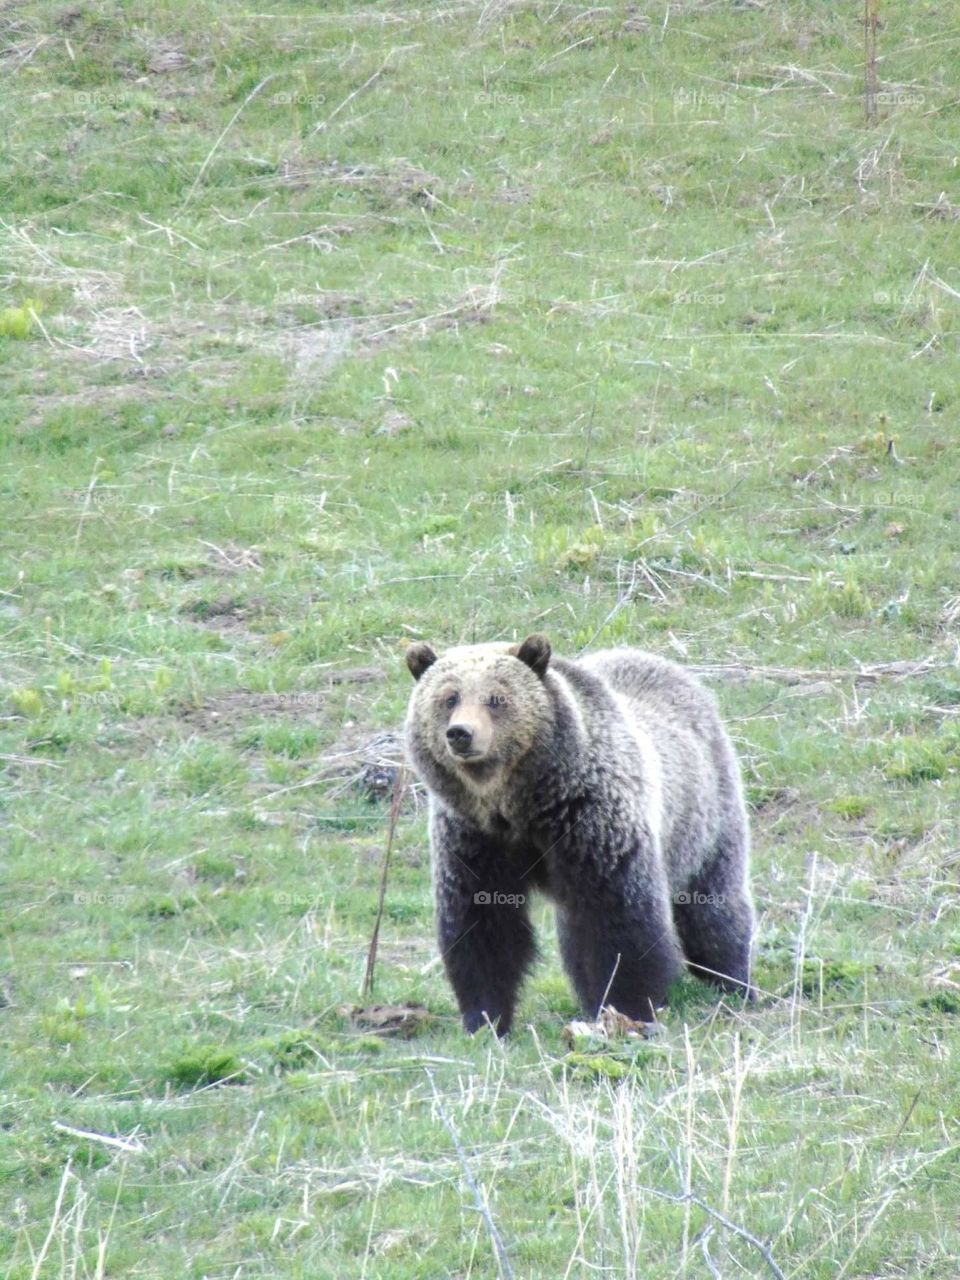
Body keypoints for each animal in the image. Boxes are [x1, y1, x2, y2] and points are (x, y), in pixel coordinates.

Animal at [404, 634, 755, 1036]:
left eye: (496, 698)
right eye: (449, 697)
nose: (461, 733)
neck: (521, 805)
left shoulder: (592, 824)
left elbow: (619, 922)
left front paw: (629, 1007)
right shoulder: (474, 841)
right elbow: (482, 926)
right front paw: (486, 1020)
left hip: (705, 816)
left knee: (713, 907)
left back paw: (733, 981)